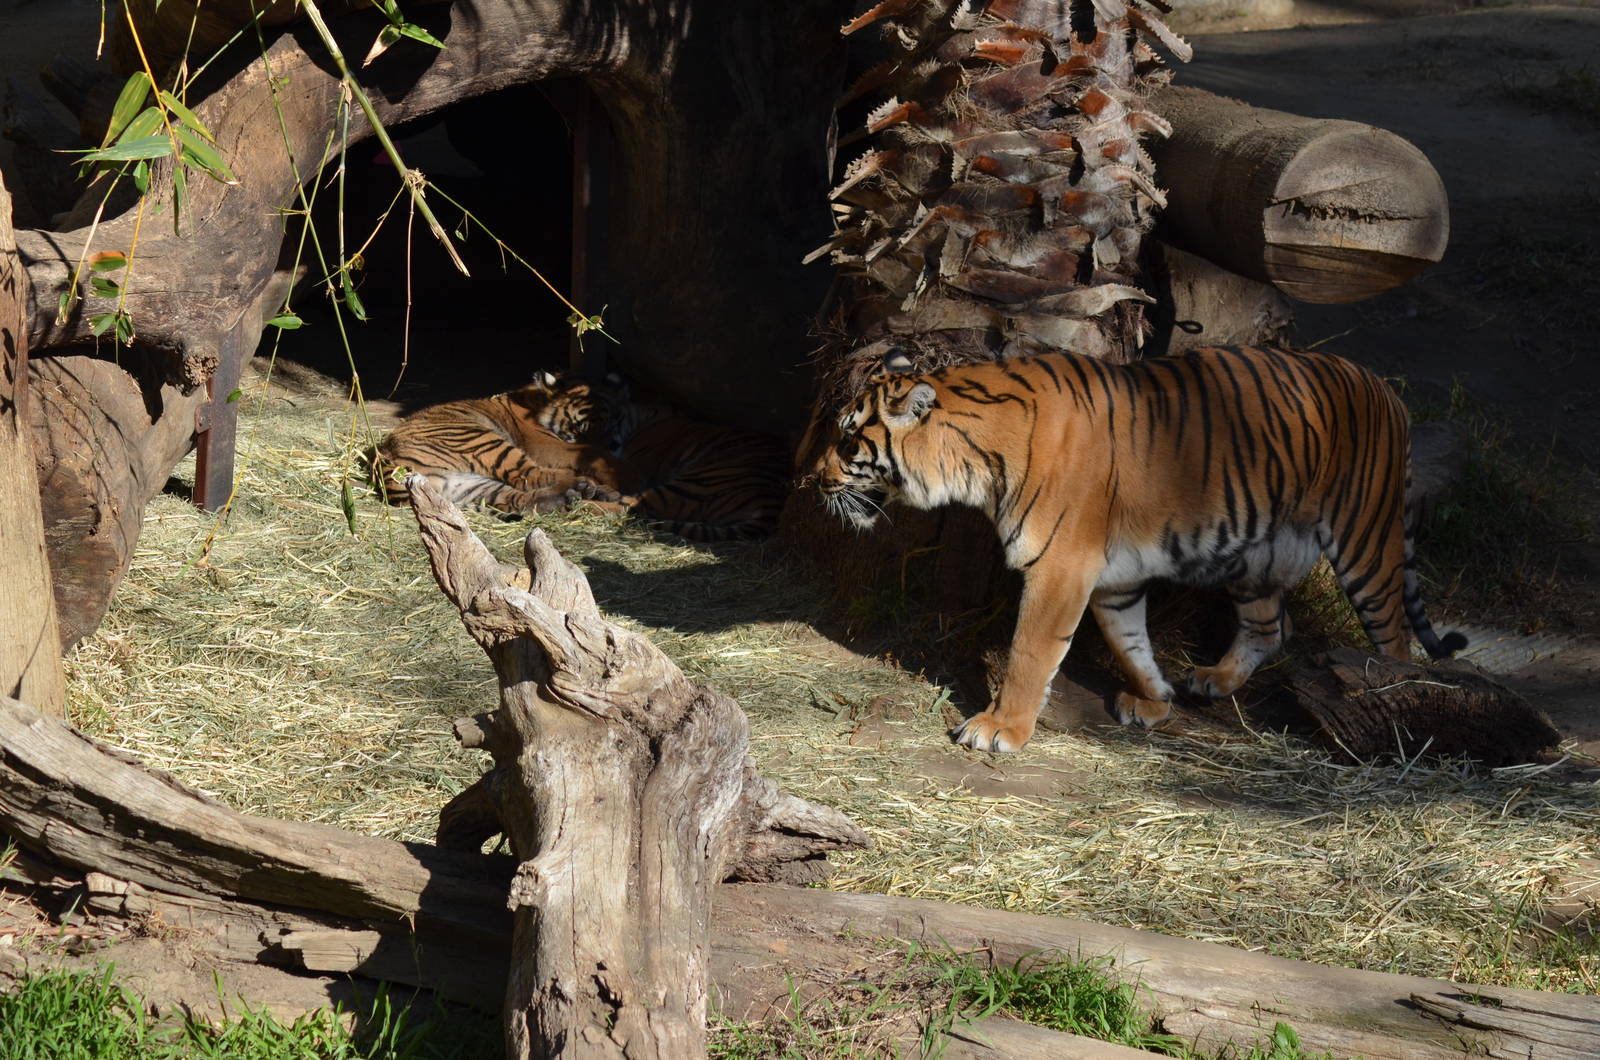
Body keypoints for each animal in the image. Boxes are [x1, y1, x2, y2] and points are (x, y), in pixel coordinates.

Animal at [368, 372, 627, 514]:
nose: (612, 445)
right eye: (578, 428)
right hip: (484, 441)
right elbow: (585, 451)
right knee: (530, 476)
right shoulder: (546, 446)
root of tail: (388, 466)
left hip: (467, 486)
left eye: (611, 423)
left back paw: (573, 495)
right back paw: (594, 488)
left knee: (516, 498)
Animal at [816, 344, 1466, 753]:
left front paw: (999, 729)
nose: (813, 478)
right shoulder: (1112, 578)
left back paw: (1396, 721)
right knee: (1271, 627)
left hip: (1366, 543)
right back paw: (1213, 680)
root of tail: (1387, 389)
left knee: (1395, 645)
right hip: (1256, 555)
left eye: (848, 438)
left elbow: (1031, 652)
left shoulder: (1060, 568)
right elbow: (1130, 644)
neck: (977, 459)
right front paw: (1156, 701)